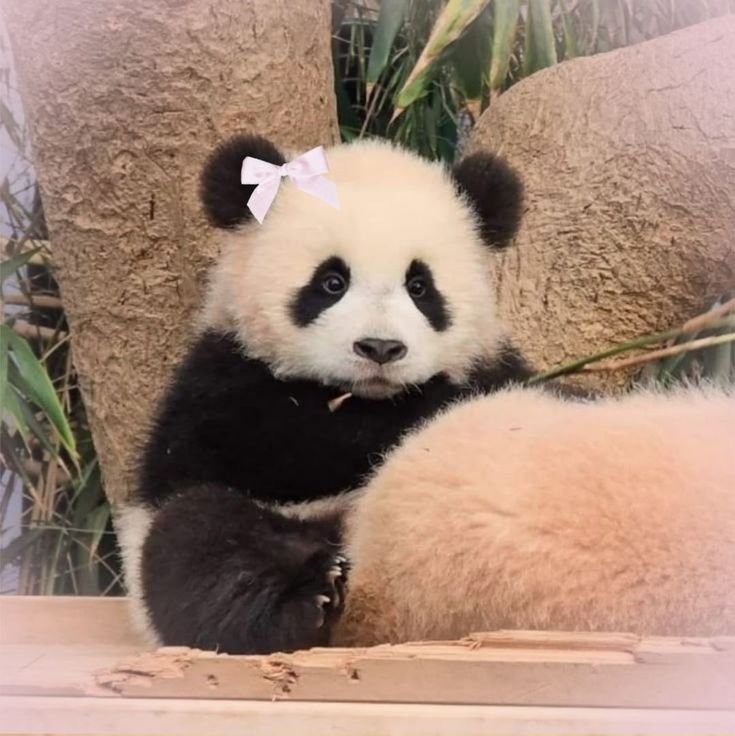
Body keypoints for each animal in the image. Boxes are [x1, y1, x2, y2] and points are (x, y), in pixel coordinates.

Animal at [116, 133, 548, 655]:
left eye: (420, 286)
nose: (380, 348)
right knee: (199, 540)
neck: (365, 397)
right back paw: (303, 599)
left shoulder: (491, 368)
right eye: (331, 282)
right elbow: (278, 445)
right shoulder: (222, 386)